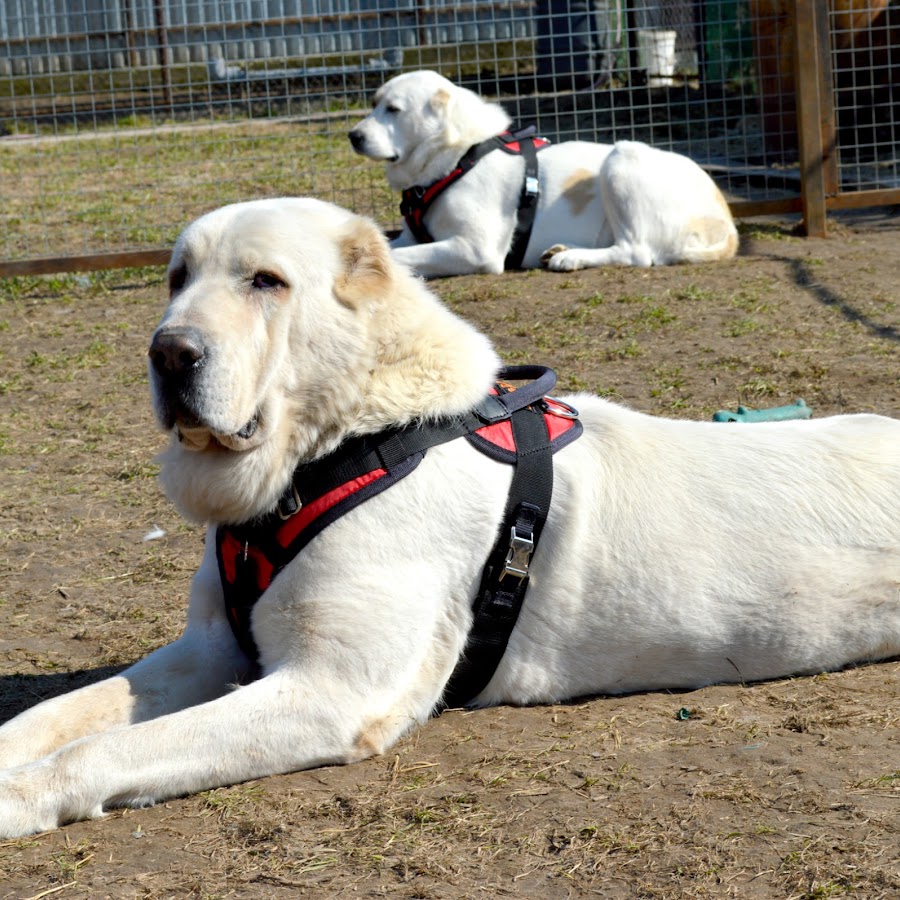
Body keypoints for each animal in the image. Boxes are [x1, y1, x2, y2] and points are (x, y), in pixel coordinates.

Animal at [0, 200, 896, 840]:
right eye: (178, 276)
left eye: (265, 281)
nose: (169, 352)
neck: (345, 442)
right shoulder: (211, 649)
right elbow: (57, 714)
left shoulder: (331, 690)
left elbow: (107, 745)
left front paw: (23, 797)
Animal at [350, 70, 740, 276]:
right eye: (374, 104)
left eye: (393, 109)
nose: (353, 136)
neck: (459, 155)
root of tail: (727, 222)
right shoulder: (411, 238)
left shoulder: (476, 249)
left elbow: (393, 258)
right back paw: (562, 250)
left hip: (623, 157)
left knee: (637, 252)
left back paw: (571, 257)